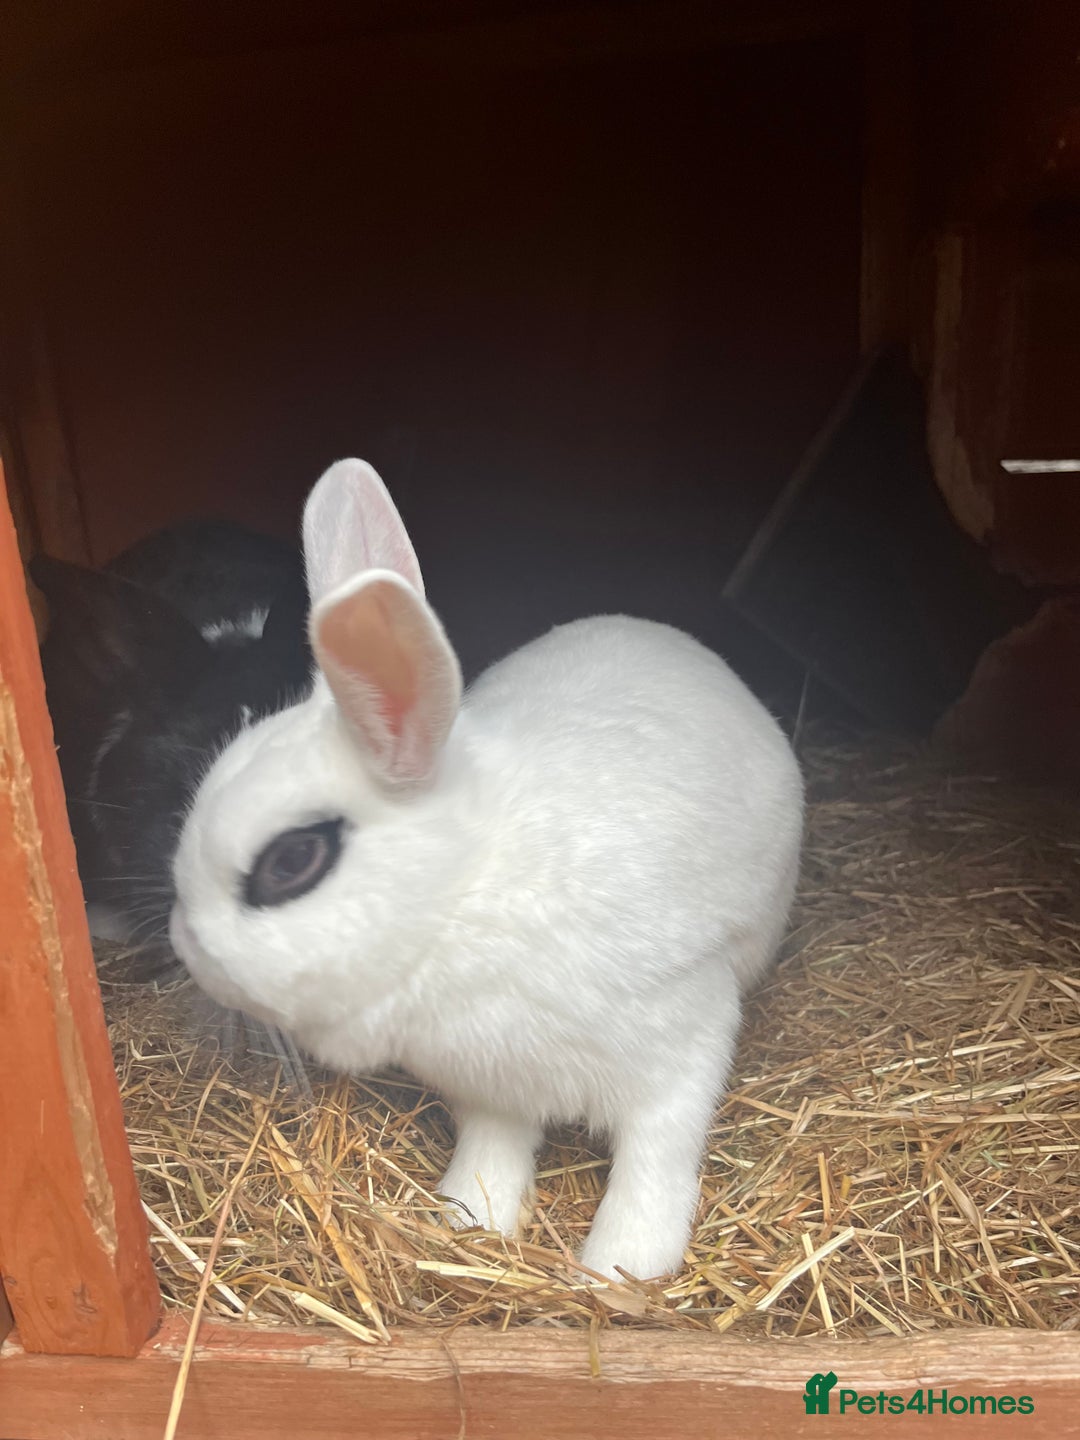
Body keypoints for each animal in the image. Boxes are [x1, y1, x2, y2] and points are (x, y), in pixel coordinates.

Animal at [168, 459, 804, 1281]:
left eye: (293, 861)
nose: (184, 944)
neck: (465, 895)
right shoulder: (490, 1090)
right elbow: (494, 1147)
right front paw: (472, 1218)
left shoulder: (682, 1044)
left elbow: (655, 1159)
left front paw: (620, 1269)